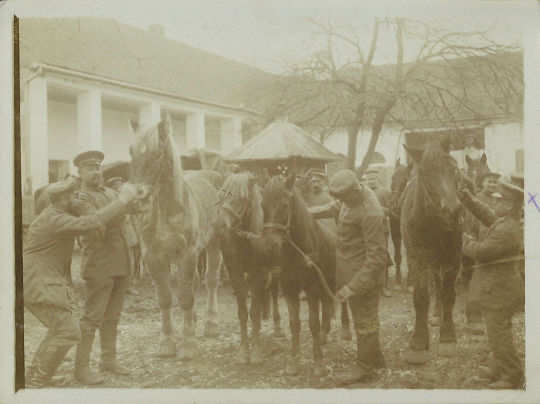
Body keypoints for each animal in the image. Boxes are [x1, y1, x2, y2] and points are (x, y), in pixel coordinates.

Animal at [127, 117, 223, 360]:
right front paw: (167, 342)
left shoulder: (187, 253)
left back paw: (210, 325)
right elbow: (165, 298)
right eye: (131, 151)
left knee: (210, 280)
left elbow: (186, 296)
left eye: (158, 154)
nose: (136, 198)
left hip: (214, 244)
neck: (168, 209)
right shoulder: (154, 256)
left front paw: (188, 344)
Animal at [260, 177, 336, 376]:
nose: (269, 245)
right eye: (262, 205)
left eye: (285, 205)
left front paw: (318, 362)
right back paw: (324, 335)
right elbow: (294, 324)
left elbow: (313, 323)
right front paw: (294, 362)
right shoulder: (289, 289)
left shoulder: (312, 288)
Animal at [400, 140, 464, 364]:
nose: (453, 211)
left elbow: (448, 295)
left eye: (453, 169)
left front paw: (448, 337)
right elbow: (421, 296)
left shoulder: (453, 258)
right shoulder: (416, 258)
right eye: (426, 173)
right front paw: (419, 342)